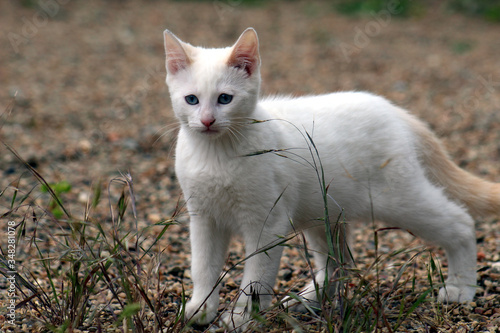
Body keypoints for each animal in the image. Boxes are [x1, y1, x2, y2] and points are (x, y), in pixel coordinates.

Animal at [163, 27, 500, 326]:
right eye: (192, 100)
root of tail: (396, 112)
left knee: (461, 222)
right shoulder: (204, 219)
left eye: (225, 99)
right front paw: (201, 309)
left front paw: (243, 317)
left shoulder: (266, 223)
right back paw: (308, 299)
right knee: (340, 263)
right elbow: (203, 268)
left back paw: (461, 288)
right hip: (323, 213)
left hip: (401, 200)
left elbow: (256, 279)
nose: (207, 121)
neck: (215, 153)